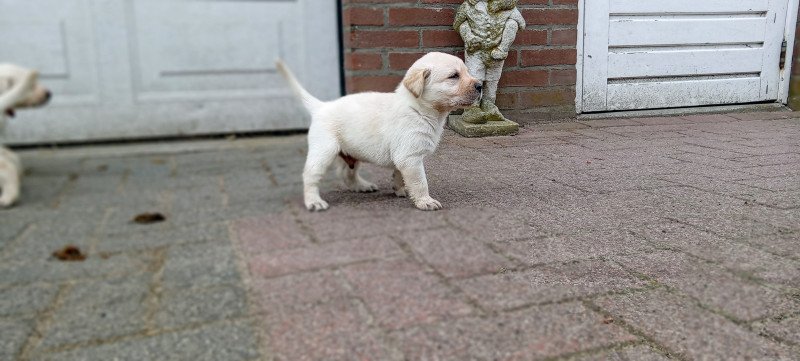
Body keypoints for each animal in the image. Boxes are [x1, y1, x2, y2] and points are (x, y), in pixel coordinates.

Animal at [278, 53, 482, 211]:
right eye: (454, 76)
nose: (480, 85)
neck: (419, 108)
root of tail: (321, 106)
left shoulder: (404, 157)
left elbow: (400, 175)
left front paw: (401, 190)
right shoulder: (410, 157)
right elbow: (420, 182)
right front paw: (425, 201)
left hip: (351, 153)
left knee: (346, 174)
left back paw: (362, 186)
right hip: (324, 150)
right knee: (310, 175)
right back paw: (314, 202)